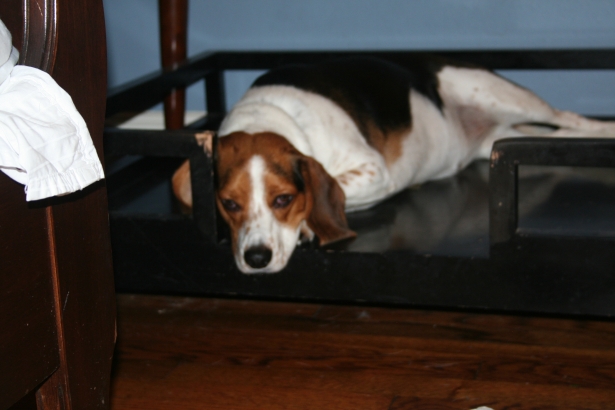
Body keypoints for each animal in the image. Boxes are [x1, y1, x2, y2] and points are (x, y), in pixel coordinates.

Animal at [173, 56, 615, 274]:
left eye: (283, 199)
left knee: (570, 116)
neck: (269, 114)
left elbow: (331, 195)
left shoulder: (375, 172)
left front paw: (309, 228)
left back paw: (602, 130)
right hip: (500, 138)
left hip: (502, 95)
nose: (256, 259)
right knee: (553, 135)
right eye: (228, 204)